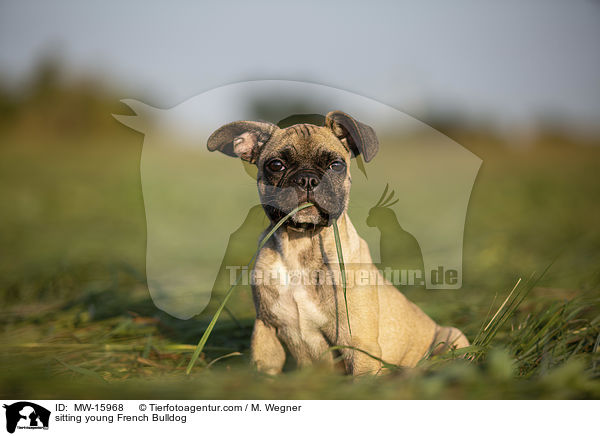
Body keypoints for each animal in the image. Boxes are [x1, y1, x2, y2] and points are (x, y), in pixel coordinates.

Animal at [207, 110, 468, 372]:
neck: (302, 243)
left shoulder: (359, 345)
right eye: (276, 165)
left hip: (452, 337)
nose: (307, 179)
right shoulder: (266, 335)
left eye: (336, 166)